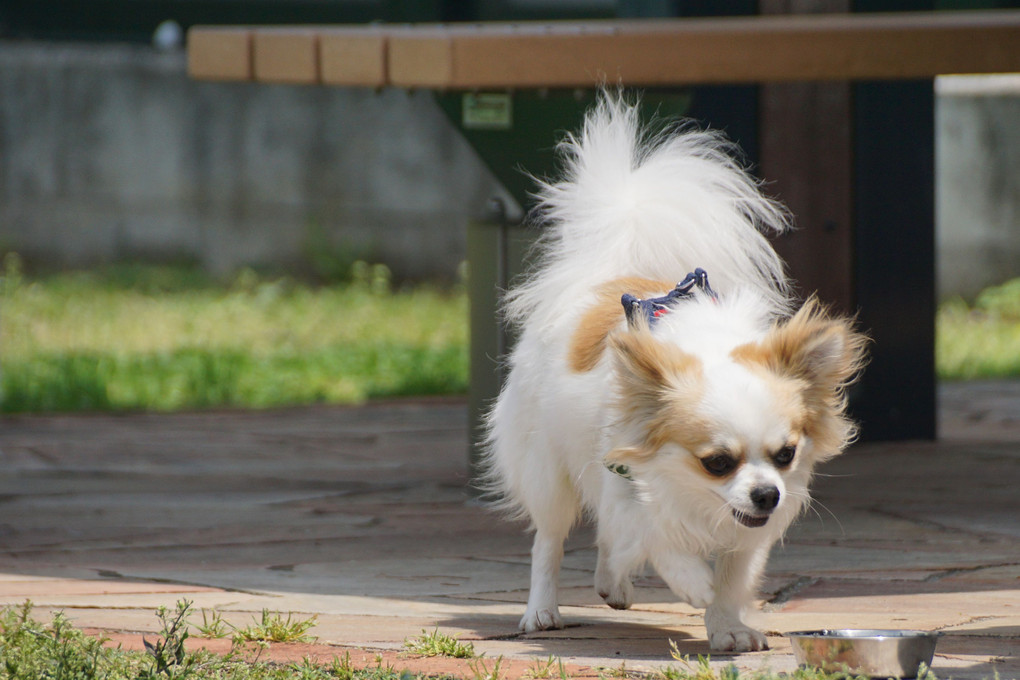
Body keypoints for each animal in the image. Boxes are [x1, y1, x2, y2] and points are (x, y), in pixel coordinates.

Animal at [481, 91, 864, 652]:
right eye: (717, 462)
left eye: (786, 456)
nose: (767, 493)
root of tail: (608, 272)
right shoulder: (625, 480)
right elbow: (655, 533)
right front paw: (693, 584)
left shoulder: (746, 529)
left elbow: (734, 571)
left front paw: (727, 626)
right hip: (549, 470)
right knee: (550, 541)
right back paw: (542, 610)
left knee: (606, 542)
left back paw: (612, 584)